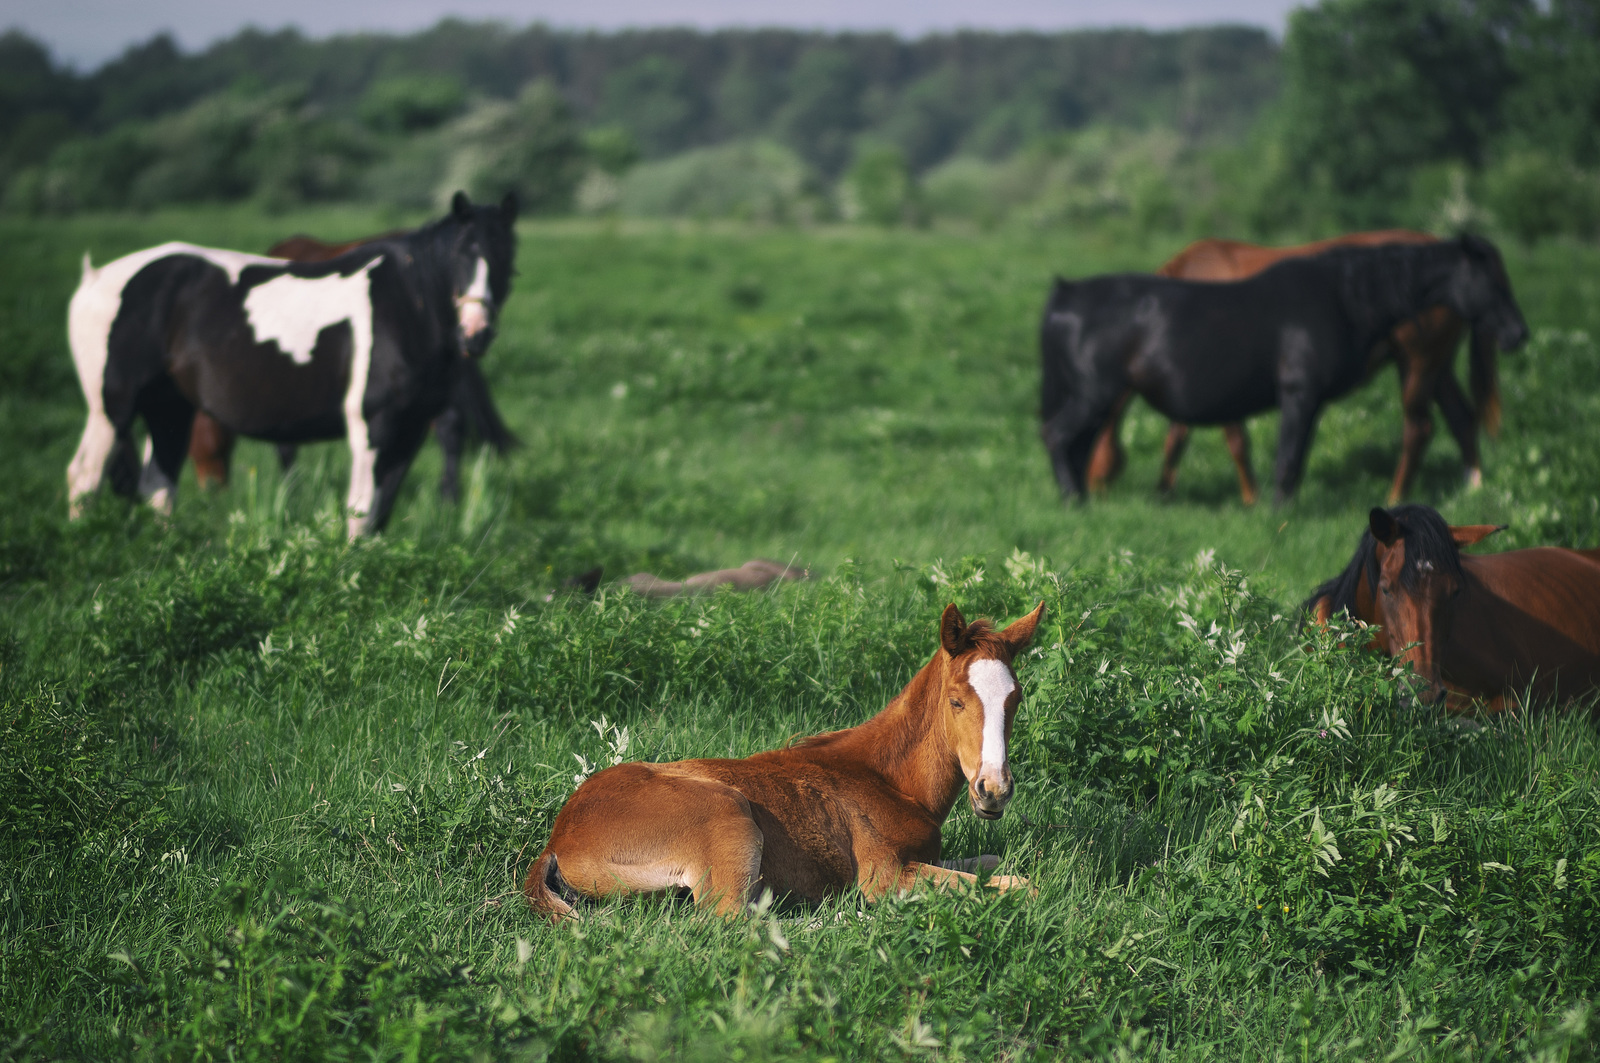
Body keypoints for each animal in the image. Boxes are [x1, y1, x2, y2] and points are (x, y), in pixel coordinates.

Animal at [67, 191, 518, 534]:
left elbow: (380, 514)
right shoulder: (372, 426)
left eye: (506, 260)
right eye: (460, 254)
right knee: (84, 478)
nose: (475, 332)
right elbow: (360, 511)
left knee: (158, 486)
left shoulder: (410, 431)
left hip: (169, 406)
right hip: (112, 409)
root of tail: (95, 277)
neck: (408, 303)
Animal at [528, 601, 1049, 915]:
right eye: (957, 701)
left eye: (1016, 699)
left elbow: (994, 862)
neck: (890, 781)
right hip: (727, 815)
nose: (994, 790)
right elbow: (1021, 885)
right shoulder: (885, 876)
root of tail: (558, 837)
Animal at [1036, 238, 1523, 505]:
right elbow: (1286, 462)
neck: (1341, 296)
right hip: (1092, 395)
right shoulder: (1298, 394)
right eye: (1493, 282)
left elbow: (1292, 460)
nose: (1519, 332)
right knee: (1059, 437)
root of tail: (1065, 296)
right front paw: (1274, 513)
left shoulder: (1307, 402)